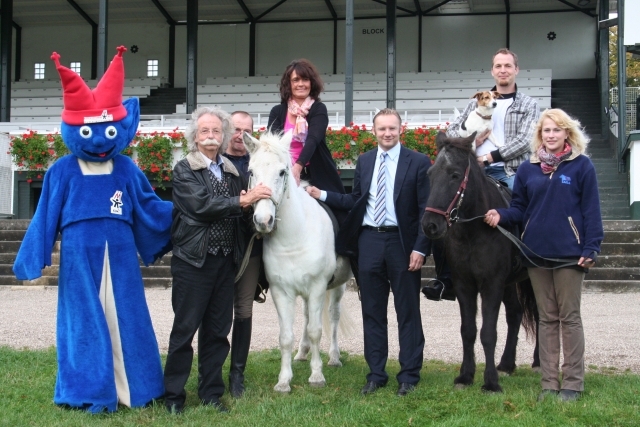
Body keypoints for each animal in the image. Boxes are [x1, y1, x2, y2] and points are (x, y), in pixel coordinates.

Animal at [242, 131, 352, 394]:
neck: (294, 237)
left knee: (332, 316)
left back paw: (334, 358)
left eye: (282, 172)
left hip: (337, 287)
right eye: (251, 171)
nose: (263, 220)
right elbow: (286, 336)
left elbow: (316, 330)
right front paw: (284, 381)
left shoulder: (317, 287)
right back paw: (302, 353)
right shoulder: (281, 291)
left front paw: (317, 376)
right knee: (306, 316)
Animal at [422, 132, 536, 392]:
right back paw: (507, 364)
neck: (474, 231)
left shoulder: (491, 284)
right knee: (515, 314)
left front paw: (490, 382)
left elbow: (488, 333)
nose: (430, 225)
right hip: (509, 284)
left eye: (454, 174)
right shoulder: (465, 285)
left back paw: (538, 362)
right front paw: (466, 376)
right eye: (430, 174)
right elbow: (468, 331)